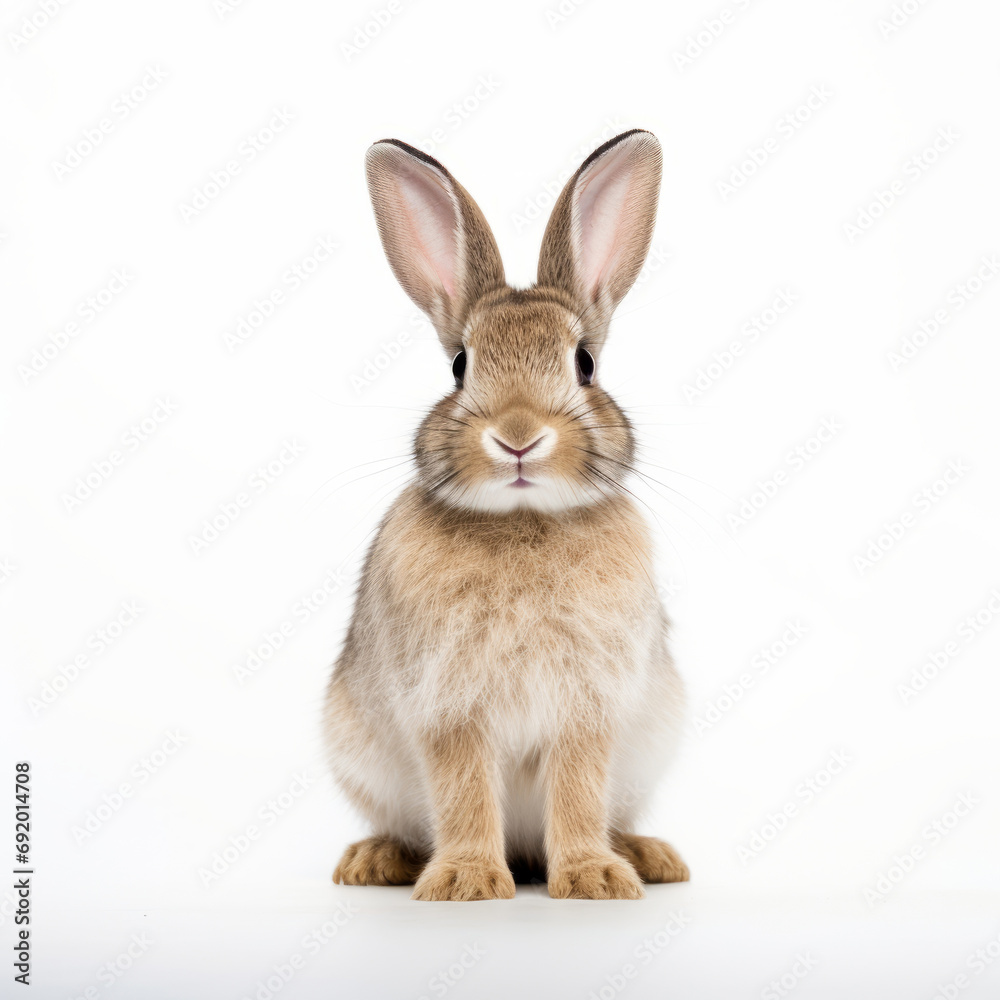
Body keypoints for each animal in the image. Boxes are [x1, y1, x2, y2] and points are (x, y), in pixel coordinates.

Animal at [324, 128, 688, 900]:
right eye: (460, 366)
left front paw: (591, 880)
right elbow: (462, 789)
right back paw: (377, 861)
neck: (525, 522)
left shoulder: (588, 709)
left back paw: (646, 857)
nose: (518, 436)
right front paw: (465, 882)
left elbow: (577, 790)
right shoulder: (447, 707)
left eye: (585, 364)